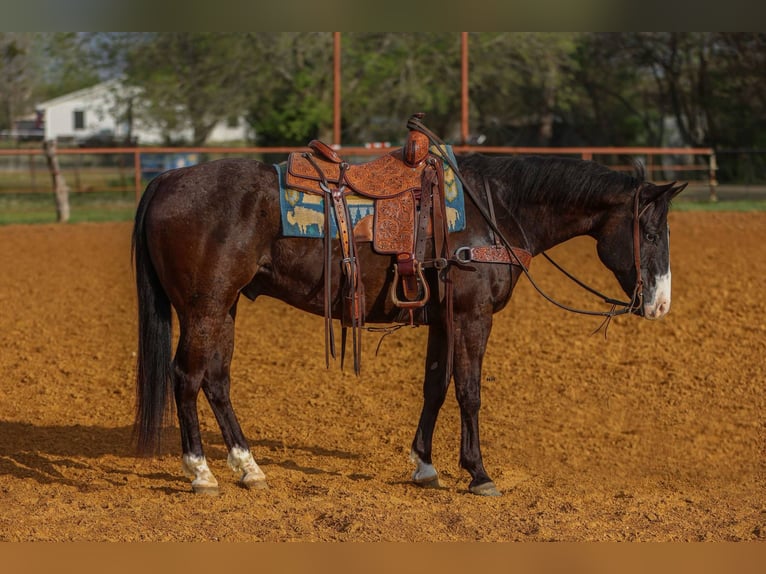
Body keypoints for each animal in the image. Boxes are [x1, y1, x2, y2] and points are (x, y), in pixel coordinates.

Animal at [132, 146, 686, 496]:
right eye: (651, 231)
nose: (660, 304)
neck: (495, 212)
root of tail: (165, 179)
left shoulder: (444, 319)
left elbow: (435, 387)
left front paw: (424, 465)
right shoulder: (472, 317)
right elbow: (469, 391)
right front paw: (479, 473)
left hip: (223, 308)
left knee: (216, 380)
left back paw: (248, 467)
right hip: (204, 308)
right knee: (187, 378)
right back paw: (201, 473)